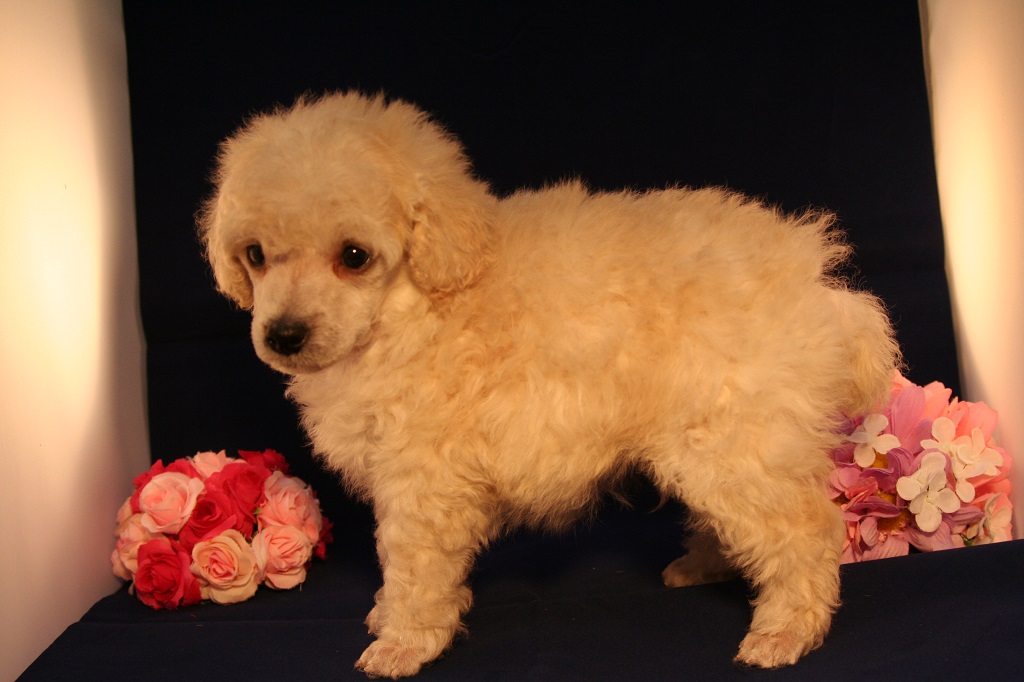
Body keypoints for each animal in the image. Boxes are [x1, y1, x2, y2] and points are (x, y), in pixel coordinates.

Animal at [199, 91, 899, 678]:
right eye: (255, 256)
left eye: (353, 257)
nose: (284, 336)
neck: (417, 305)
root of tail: (815, 282)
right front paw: (387, 616)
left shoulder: (423, 479)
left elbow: (413, 565)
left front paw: (401, 642)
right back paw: (705, 566)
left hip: (734, 439)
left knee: (804, 532)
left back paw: (785, 632)